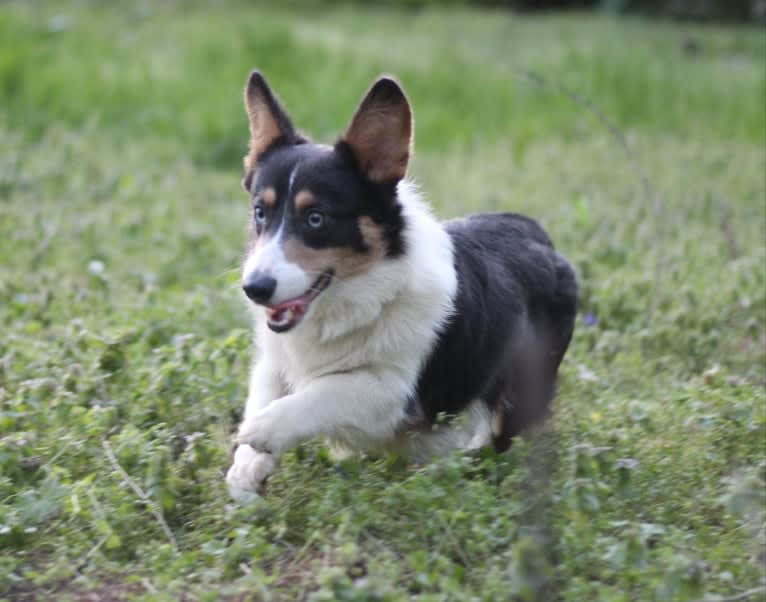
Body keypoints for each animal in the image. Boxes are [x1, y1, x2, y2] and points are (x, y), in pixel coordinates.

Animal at [225, 71, 580, 502]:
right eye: (260, 212)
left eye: (315, 218)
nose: (255, 288)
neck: (353, 299)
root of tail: (539, 234)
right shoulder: (274, 361)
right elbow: (267, 393)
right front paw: (248, 467)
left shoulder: (393, 392)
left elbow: (324, 392)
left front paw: (263, 429)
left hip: (516, 392)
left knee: (493, 443)